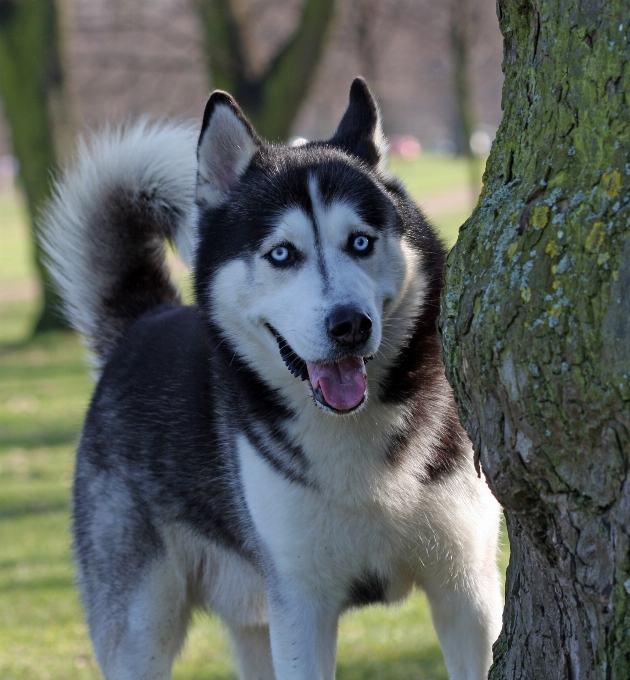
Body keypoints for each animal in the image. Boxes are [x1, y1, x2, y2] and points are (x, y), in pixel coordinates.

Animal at [43, 77, 504, 676]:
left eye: (361, 241)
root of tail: (145, 322)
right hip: (142, 627)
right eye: (282, 253)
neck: (352, 438)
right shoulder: (301, 607)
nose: (349, 325)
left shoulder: (466, 589)